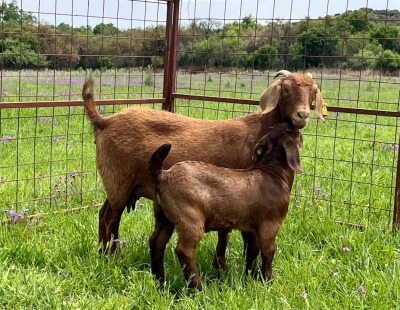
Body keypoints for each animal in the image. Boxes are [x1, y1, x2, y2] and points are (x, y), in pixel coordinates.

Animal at [82, 70, 324, 262]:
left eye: (313, 91)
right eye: (285, 89)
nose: (302, 115)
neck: (260, 128)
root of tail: (104, 122)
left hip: (117, 183)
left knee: (103, 214)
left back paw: (101, 252)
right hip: (119, 180)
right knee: (111, 218)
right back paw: (112, 256)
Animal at [150, 123, 304, 290]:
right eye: (294, 133)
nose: (297, 128)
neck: (273, 173)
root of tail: (164, 175)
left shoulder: (251, 227)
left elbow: (252, 251)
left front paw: (252, 276)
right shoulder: (270, 223)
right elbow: (268, 251)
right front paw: (268, 281)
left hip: (163, 217)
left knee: (156, 242)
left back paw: (160, 282)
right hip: (189, 218)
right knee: (184, 250)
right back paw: (198, 288)